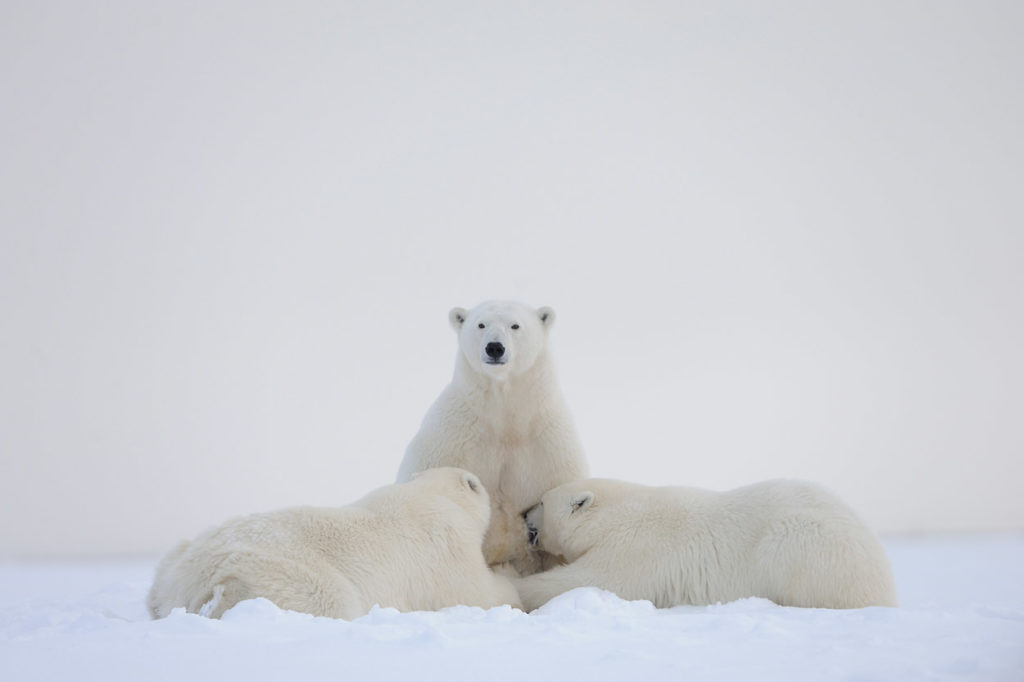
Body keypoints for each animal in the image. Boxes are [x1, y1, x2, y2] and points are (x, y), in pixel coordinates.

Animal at [146, 464, 520, 618]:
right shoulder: (446, 544)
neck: (431, 494)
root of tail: (188, 579)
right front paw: (509, 573)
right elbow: (479, 594)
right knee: (331, 598)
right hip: (284, 570)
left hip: (176, 558)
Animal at [395, 301, 589, 569]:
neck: (505, 422)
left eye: (515, 325)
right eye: (481, 324)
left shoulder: (548, 448)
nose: (495, 347)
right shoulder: (451, 443)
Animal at [512, 475, 897, 606]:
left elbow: (590, 580)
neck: (616, 515)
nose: (523, 512)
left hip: (807, 544)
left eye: (542, 502)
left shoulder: (638, 549)